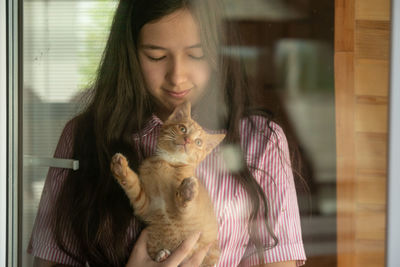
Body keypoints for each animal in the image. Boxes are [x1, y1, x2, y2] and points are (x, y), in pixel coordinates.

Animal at [111, 101, 223, 266]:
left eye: (198, 142)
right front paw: (121, 169)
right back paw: (162, 256)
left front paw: (187, 191)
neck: (168, 162)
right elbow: (132, 186)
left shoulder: (190, 218)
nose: (187, 140)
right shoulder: (145, 204)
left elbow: (187, 208)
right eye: (182, 128)